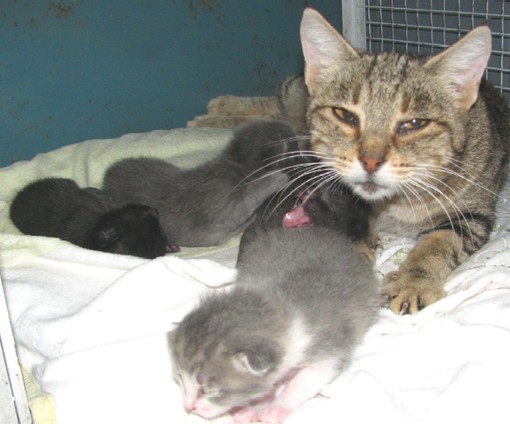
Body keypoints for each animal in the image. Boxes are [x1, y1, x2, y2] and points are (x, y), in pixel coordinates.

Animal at [102, 120, 298, 245]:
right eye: (295, 146)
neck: (235, 163)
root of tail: (105, 181)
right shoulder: (221, 200)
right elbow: (246, 199)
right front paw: (277, 178)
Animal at [168, 225, 378, 420]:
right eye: (179, 378)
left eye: (207, 391)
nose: (189, 407)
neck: (278, 303)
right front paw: (258, 403)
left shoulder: (329, 347)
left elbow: (303, 382)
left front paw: (277, 407)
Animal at [282, 8, 510, 314]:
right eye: (345, 115)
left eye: (414, 123)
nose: (369, 161)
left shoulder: (473, 215)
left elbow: (437, 243)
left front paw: (413, 281)